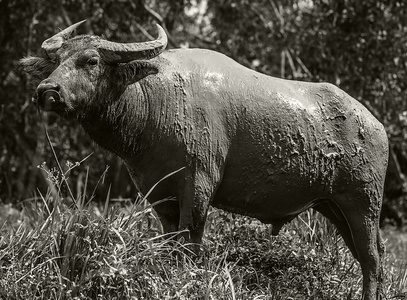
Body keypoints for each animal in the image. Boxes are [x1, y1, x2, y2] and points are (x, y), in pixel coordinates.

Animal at [19, 21, 388, 300]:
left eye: (91, 61)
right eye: (56, 62)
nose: (47, 90)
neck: (156, 101)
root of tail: (376, 126)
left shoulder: (198, 186)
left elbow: (191, 245)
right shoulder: (160, 197)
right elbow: (169, 246)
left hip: (363, 204)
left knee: (371, 259)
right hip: (333, 206)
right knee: (367, 256)